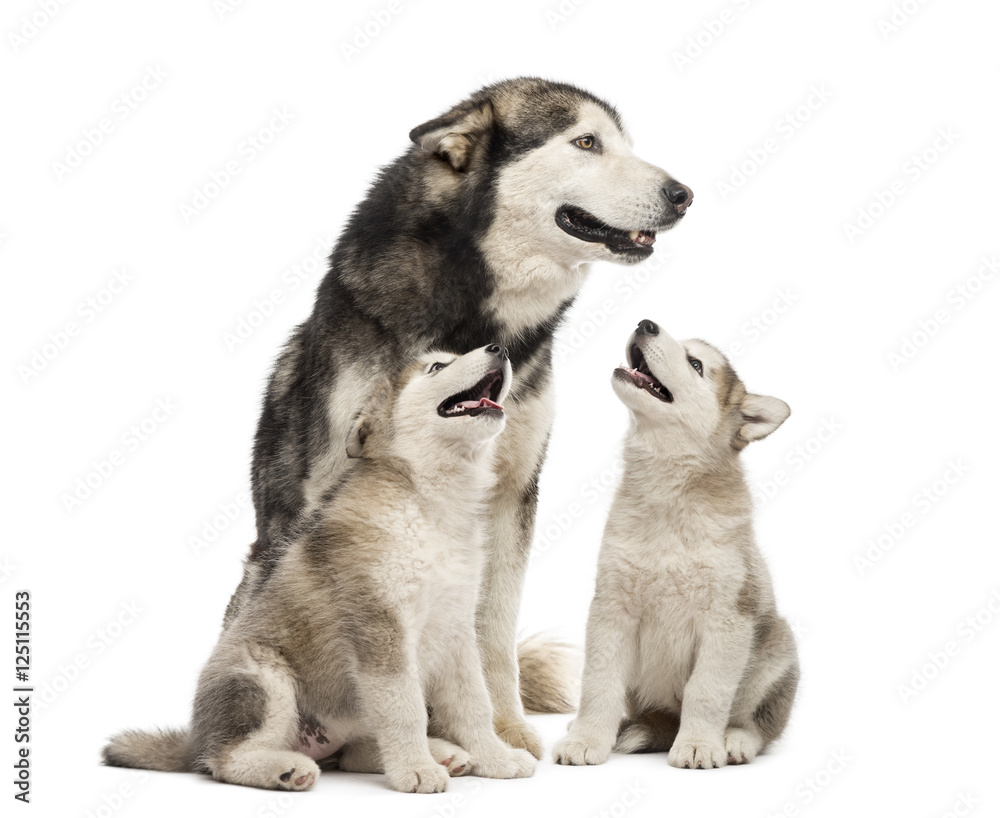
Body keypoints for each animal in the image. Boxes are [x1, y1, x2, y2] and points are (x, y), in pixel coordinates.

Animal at [104, 346, 536, 792]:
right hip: (263, 678)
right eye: (437, 366)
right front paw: (416, 770)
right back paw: (286, 768)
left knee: (353, 754)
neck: (430, 506)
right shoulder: (381, 630)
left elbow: (474, 704)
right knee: (224, 759)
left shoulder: (457, 630)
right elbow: (406, 708)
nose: (499, 349)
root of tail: (193, 739)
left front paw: (496, 758)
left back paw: (445, 753)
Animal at [233, 79, 692, 756]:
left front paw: (505, 731)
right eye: (586, 142)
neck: (473, 319)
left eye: (627, 144)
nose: (684, 194)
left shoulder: (511, 498)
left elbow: (492, 632)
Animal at [556, 322, 796, 768]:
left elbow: (707, 692)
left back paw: (735, 740)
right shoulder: (612, 609)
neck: (667, 491)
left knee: (759, 723)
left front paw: (700, 744)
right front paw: (586, 738)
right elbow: (598, 683)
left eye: (696, 364)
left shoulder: (727, 619)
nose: (646, 323)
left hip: (777, 647)